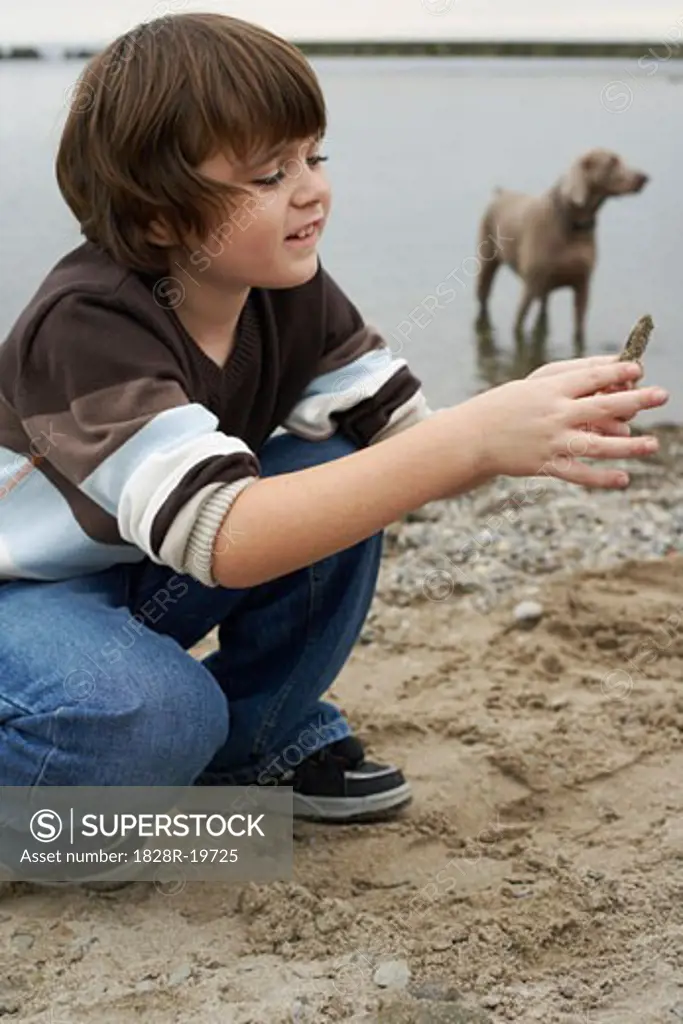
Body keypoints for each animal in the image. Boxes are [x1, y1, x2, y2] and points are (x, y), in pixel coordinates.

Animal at [479, 149, 651, 348]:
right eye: (611, 162)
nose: (644, 177)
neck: (574, 225)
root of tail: (500, 192)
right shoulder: (529, 286)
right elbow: (518, 325)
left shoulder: (583, 285)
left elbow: (579, 331)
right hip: (487, 260)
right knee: (484, 297)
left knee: (543, 309)